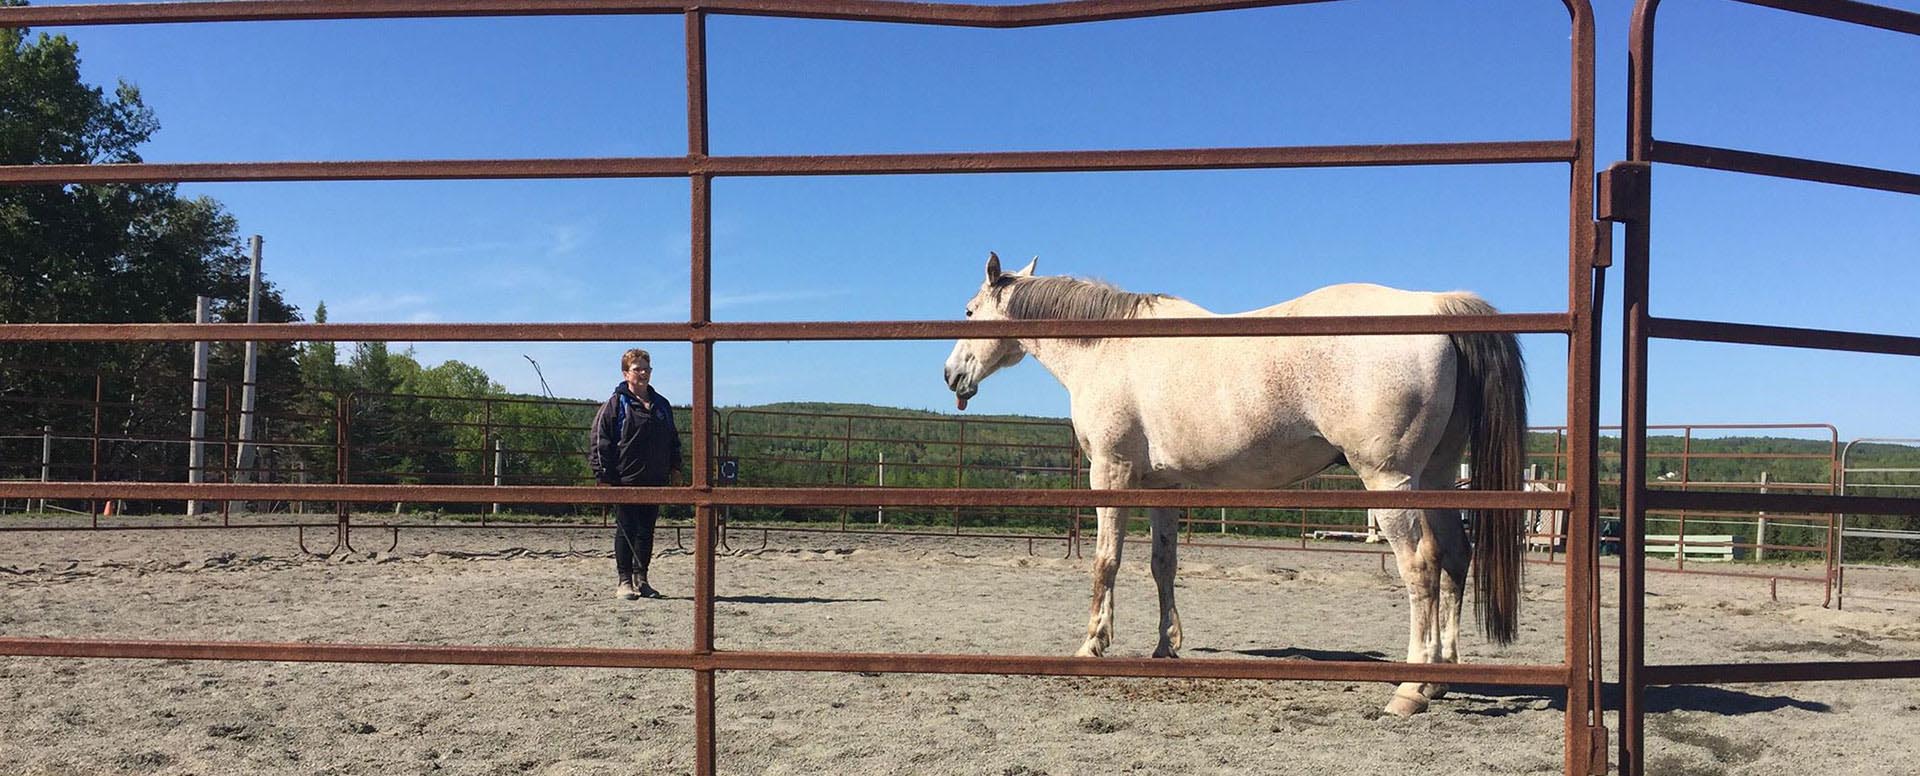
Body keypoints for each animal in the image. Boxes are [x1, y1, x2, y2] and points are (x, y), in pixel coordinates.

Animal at [936, 253, 1520, 714]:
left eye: (968, 312)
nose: (951, 375)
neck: (1109, 345)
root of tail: (1437, 306)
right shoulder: (1162, 488)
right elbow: (1163, 565)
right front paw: (1165, 647)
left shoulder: (1112, 473)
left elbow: (1106, 563)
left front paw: (1092, 647)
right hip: (1436, 476)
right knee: (1455, 558)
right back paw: (1442, 678)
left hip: (1391, 480)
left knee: (1421, 566)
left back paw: (1411, 688)